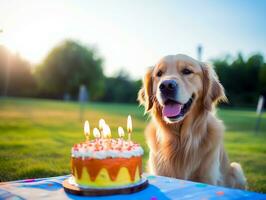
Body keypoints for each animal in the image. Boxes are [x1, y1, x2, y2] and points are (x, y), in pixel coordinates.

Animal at [138, 54, 246, 188]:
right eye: (159, 74)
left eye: (187, 71)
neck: (180, 141)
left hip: (236, 170)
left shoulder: (207, 178)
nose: (166, 85)